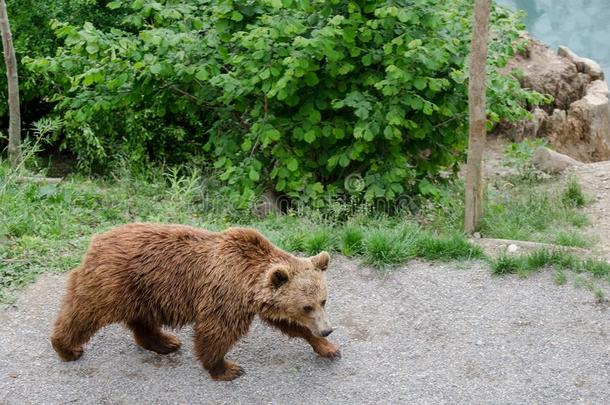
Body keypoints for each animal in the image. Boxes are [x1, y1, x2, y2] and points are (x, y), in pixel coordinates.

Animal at [50, 223, 340, 380]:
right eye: (306, 306)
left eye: (323, 301)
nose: (327, 329)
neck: (247, 282)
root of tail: (97, 239)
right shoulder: (225, 295)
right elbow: (217, 331)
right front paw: (227, 368)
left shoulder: (261, 303)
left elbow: (289, 325)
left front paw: (328, 348)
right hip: (114, 282)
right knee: (86, 311)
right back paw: (67, 348)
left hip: (144, 291)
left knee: (142, 320)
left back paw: (165, 342)